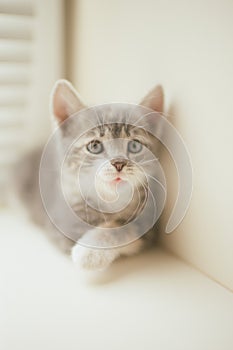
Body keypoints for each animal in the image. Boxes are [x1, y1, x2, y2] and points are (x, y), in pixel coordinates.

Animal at [14, 80, 164, 270]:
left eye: (135, 146)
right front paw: (90, 252)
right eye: (94, 146)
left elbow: (125, 228)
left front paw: (90, 252)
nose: (119, 163)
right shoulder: (61, 225)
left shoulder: (149, 222)